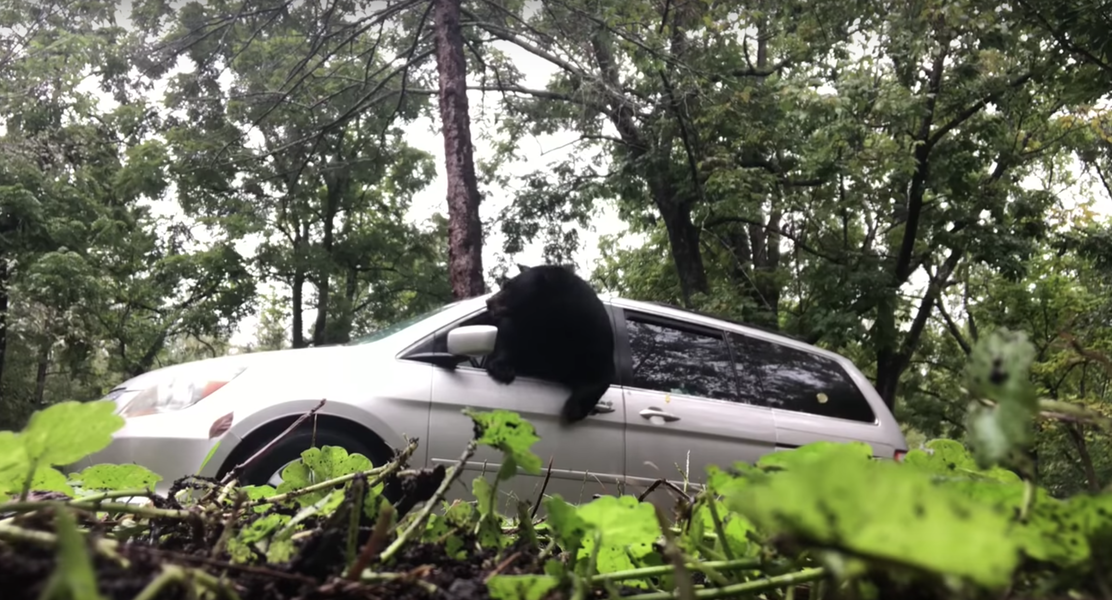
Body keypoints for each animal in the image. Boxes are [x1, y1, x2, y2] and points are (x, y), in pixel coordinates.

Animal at [483, 263, 616, 424]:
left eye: (508, 285)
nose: (488, 302)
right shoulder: (519, 328)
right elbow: (506, 342)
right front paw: (502, 369)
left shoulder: (594, 337)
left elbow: (600, 375)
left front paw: (574, 409)